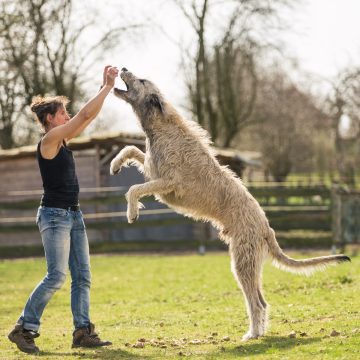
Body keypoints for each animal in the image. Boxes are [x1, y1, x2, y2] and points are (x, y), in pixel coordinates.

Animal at [108, 67, 350, 340]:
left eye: (141, 80)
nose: (123, 68)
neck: (160, 126)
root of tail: (266, 227)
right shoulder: (152, 169)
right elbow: (131, 150)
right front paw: (115, 164)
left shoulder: (168, 182)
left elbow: (134, 189)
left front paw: (132, 212)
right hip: (249, 262)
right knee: (262, 301)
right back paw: (258, 332)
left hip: (242, 261)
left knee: (256, 303)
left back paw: (252, 334)